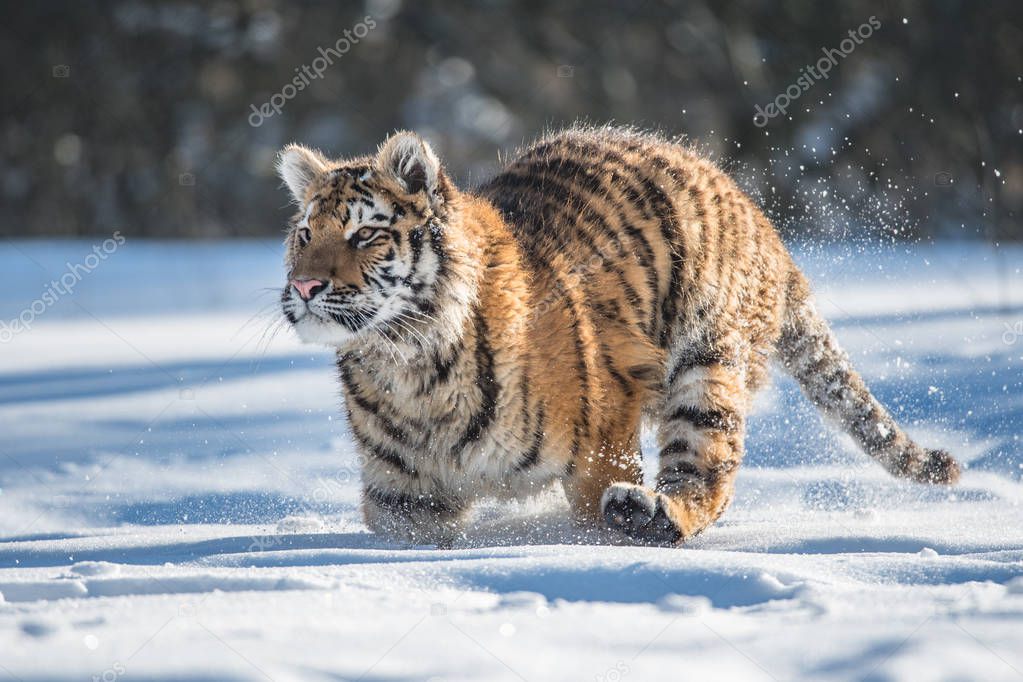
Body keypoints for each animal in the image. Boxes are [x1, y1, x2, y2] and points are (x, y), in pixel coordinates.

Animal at [274, 125, 957, 548]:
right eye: (305, 234)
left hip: (706, 366)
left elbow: (593, 502)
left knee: (706, 477)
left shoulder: (600, 433)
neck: (407, 364)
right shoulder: (404, 498)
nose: (305, 286)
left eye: (365, 234)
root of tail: (754, 213)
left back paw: (649, 515)